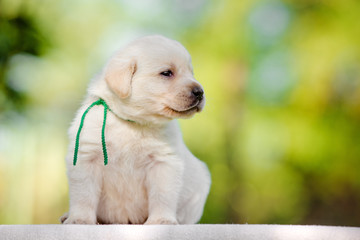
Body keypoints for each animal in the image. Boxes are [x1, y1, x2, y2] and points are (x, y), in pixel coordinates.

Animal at [60, 34, 210, 224]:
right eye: (167, 73)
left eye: (191, 73)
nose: (200, 92)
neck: (132, 122)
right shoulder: (86, 157)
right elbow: (83, 195)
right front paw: (80, 219)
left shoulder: (163, 162)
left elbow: (162, 195)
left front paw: (162, 220)